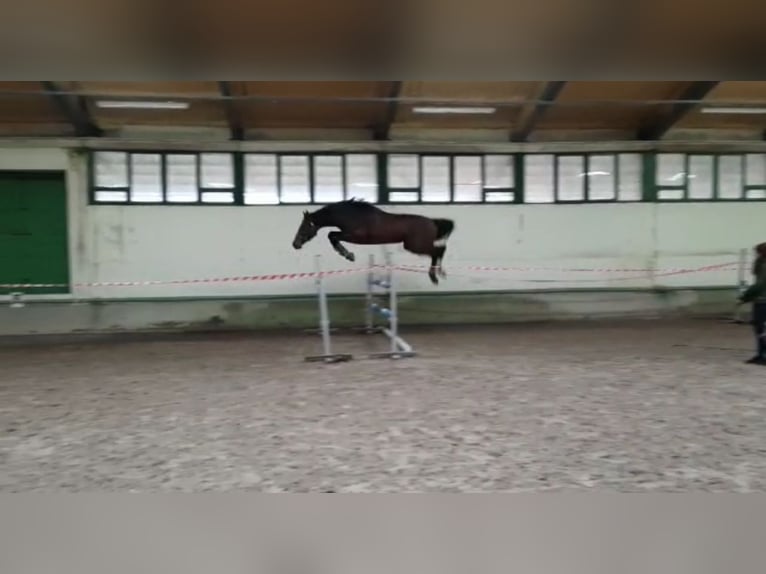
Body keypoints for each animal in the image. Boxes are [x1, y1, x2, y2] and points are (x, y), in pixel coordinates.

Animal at [291, 199, 455, 284]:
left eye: (303, 226)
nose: (295, 244)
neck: (350, 215)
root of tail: (432, 222)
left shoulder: (355, 236)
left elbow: (332, 235)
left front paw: (348, 255)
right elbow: (332, 235)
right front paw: (347, 254)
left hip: (414, 246)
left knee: (439, 251)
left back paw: (436, 275)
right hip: (414, 245)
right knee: (438, 251)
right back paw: (436, 274)